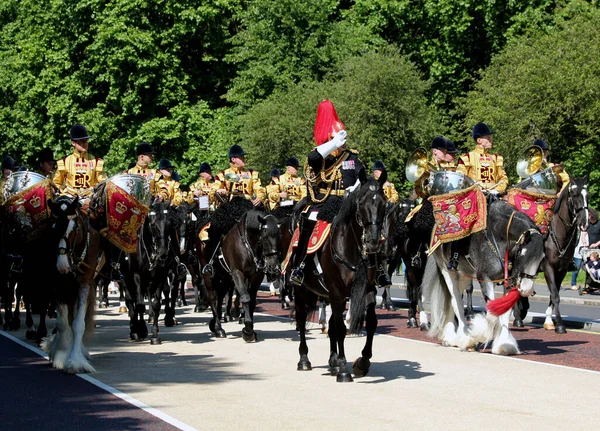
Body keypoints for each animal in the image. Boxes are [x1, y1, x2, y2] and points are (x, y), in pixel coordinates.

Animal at [41, 197, 101, 374]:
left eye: (74, 229)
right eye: (53, 227)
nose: (62, 266)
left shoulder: (84, 283)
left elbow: (78, 324)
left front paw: (75, 360)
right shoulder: (56, 284)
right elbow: (62, 324)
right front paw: (61, 355)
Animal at [288, 176, 390, 384]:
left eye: (384, 204)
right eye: (361, 203)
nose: (373, 242)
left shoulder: (366, 289)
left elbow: (371, 323)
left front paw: (362, 362)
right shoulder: (335, 290)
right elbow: (341, 328)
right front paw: (344, 369)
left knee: (331, 323)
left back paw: (332, 361)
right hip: (302, 291)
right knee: (302, 319)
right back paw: (304, 360)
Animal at [422, 197, 548, 356]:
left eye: (542, 258)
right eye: (522, 254)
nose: (526, 289)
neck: (497, 237)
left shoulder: (508, 281)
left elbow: (505, 312)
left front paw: (505, 345)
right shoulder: (485, 278)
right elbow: (492, 315)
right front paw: (477, 335)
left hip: (464, 276)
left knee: (450, 301)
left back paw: (450, 338)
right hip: (448, 272)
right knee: (457, 304)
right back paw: (465, 339)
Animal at [510, 176, 592, 334]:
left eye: (588, 195)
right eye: (574, 194)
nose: (584, 223)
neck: (557, 236)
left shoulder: (561, 270)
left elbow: (554, 295)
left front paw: (549, 322)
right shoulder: (548, 268)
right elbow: (555, 295)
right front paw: (560, 325)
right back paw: (517, 319)